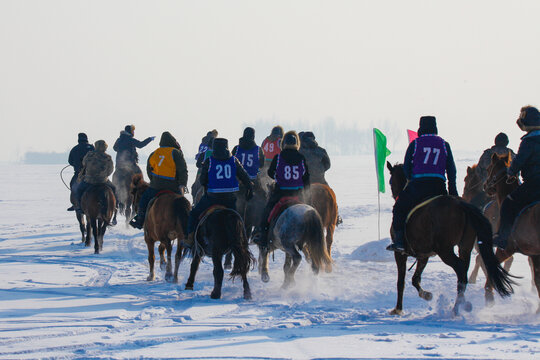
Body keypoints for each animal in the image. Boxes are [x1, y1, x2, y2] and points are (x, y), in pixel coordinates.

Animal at [384, 161, 516, 316]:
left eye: (391, 181)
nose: (395, 195)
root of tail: (461, 205)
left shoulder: (400, 254)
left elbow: (401, 282)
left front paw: (398, 308)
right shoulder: (423, 255)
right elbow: (415, 279)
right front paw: (426, 294)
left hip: (445, 250)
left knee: (460, 269)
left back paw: (457, 307)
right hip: (464, 247)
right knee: (464, 271)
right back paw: (463, 304)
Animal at [480, 152, 540, 310]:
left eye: (489, 168)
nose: (485, 186)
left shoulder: (505, 249)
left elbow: (493, 266)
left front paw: (489, 296)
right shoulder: (535, 255)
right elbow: (538, 280)